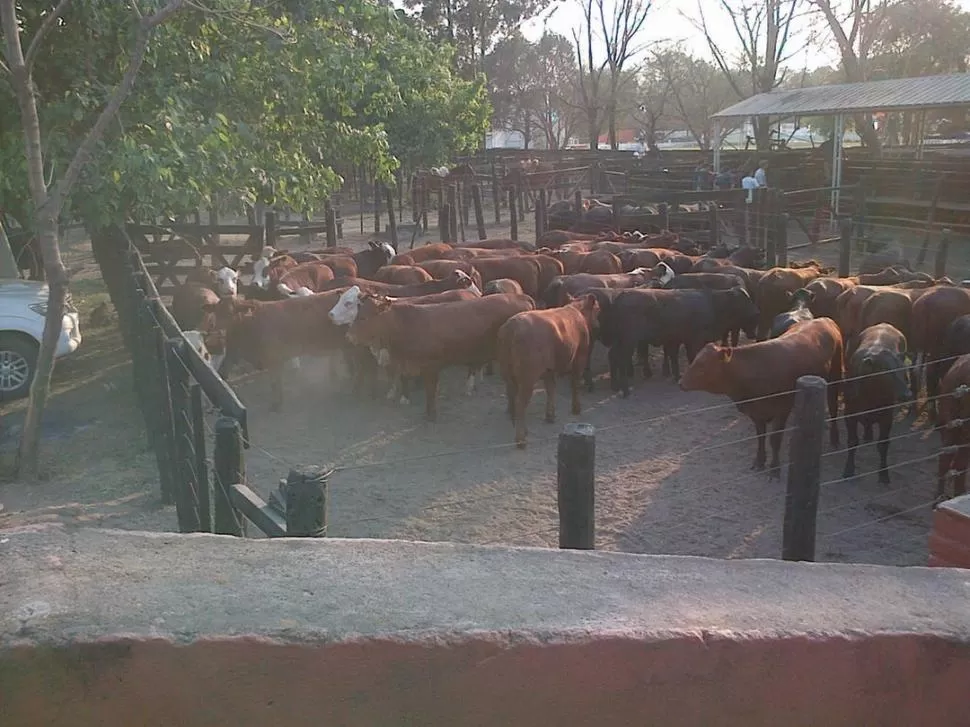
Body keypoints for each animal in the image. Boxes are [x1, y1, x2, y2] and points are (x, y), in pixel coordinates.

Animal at [342, 292, 536, 420]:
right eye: (357, 314)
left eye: (364, 318)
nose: (349, 336)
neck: (406, 326)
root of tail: (521, 296)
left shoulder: (431, 367)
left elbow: (430, 391)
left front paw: (431, 415)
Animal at [500, 294, 596, 444]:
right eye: (598, 309)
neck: (575, 310)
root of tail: (512, 326)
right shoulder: (579, 358)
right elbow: (574, 384)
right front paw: (576, 408)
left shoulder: (549, 370)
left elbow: (551, 389)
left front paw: (550, 415)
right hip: (528, 377)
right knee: (520, 402)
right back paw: (521, 439)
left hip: (507, 372)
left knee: (511, 395)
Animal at [676, 318, 844, 478]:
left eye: (702, 365)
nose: (681, 383)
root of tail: (824, 319)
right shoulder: (757, 412)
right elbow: (761, 437)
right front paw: (759, 461)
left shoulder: (781, 411)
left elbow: (774, 440)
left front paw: (775, 468)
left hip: (835, 379)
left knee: (833, 408)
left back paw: (835, 438)